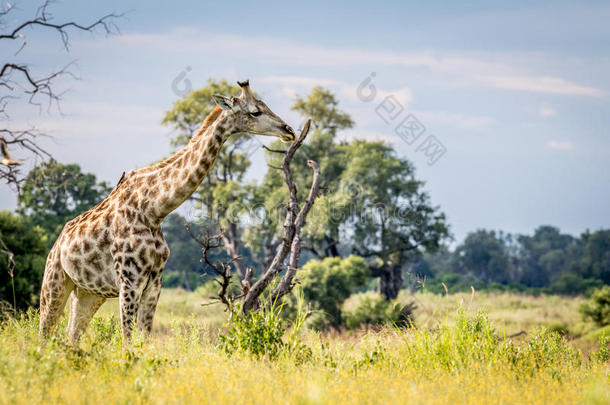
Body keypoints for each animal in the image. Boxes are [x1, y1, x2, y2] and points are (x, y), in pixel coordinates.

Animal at [37, 79, 294, 344]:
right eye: (255, 112)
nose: (289, 131)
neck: (154, 210)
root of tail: (57, 244)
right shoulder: (129, 282)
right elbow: (127, 341)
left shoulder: (154, 285)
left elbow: (144, 341)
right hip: (54, 284)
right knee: (44, 334)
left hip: (87, 293)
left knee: (71, 337)